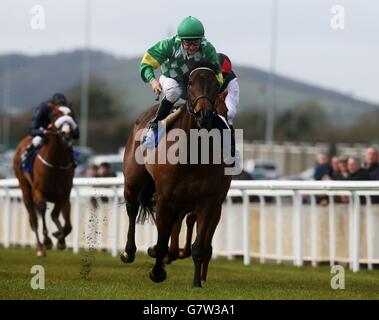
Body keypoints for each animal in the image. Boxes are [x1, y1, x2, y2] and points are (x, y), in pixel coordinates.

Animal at [13, 104, 78, 256]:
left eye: (72, 115)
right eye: (55, 116)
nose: (66, 133)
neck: (55, 164)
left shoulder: (64, 195)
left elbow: (66, 224)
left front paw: (60, 239)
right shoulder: (38, 191)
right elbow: (42, 210)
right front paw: (48, 240)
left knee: (56, 216)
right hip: (25, 189)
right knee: (33, 219)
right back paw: (40, 247)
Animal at [122, 63, 232, 288]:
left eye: (215, 85)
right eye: (190, 83)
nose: (204, 115)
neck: (191, 155)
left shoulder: (209, 201)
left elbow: (198, 245)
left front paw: (197, 282)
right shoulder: (165, 196)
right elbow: (163, 237)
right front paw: (156, 271)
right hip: (133, 181)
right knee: (132, 207)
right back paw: (129, 252)